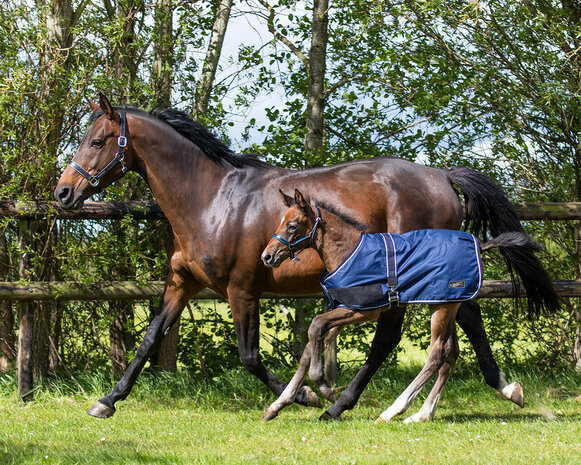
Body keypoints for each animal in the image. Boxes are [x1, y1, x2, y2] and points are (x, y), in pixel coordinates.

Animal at [53, 93, 556, 416]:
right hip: (437, 276)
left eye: (96, 141)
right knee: (466, 320)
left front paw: (303, 396)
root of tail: (442, 177)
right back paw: (505, 388)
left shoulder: (242, 289)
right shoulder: (182, 282)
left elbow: (250, 357)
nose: (63, 193)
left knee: (390, 337)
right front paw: (107, 401)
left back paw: (343, 403)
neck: (211, 200)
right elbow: (149, 339)